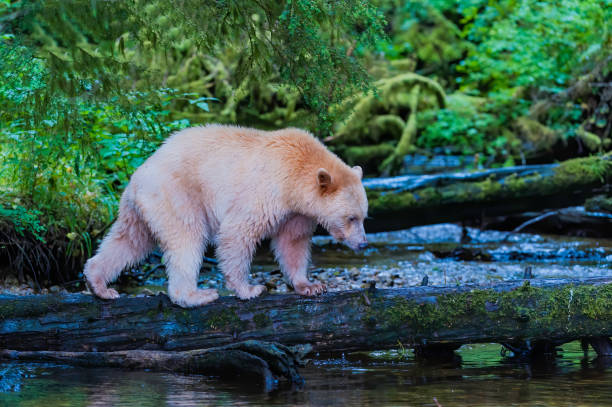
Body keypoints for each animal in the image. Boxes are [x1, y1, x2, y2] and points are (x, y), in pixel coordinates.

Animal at [83, 126, 366, 308]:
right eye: (351, 217)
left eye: (364, 216)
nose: (363, 243)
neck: (295, 174)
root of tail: (138, 175)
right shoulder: (266, 190)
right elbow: (237, 233)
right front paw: (249, 289)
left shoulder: (297, 212)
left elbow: (292, 242)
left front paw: (310, 285)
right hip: (177, 195)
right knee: (187, 239)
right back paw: (196, 295)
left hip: (140, 209)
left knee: (129, 241)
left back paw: (99, 284)